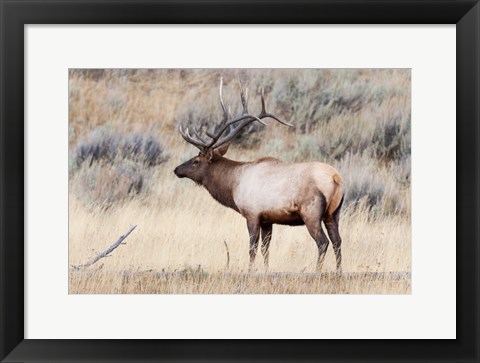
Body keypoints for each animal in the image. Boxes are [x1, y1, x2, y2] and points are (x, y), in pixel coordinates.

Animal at [174, 79, 344, 272]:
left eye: (196, 161)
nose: (177, 170)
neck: (233, 186)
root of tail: (336, 178)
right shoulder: (267, 219)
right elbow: (265, 248)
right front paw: (266, 269)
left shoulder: (252, 214)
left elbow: (252, 248)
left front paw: (250, 270)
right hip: (333, 214)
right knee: (338, 241)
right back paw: (338, 271)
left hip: (311, 212)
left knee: (323, 242)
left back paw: (317, 271)